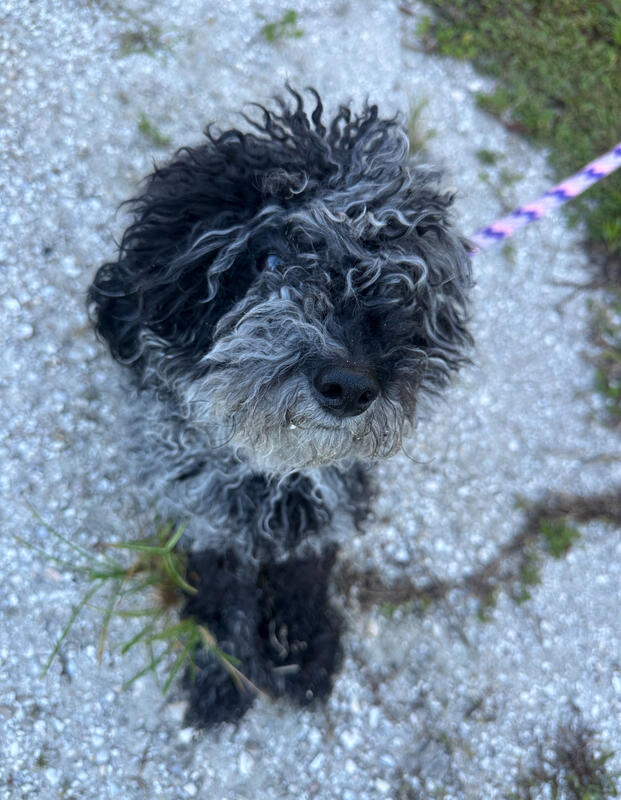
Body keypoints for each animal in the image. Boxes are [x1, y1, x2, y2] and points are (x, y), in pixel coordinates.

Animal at [89, 88, 472, 725]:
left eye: (405, 285)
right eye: (270, 260)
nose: (350, 386)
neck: (273, 470)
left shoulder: (331, 501)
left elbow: (307, 567)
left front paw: (301, 646)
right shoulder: (202, 507)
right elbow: (219, 591)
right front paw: (224, 670)